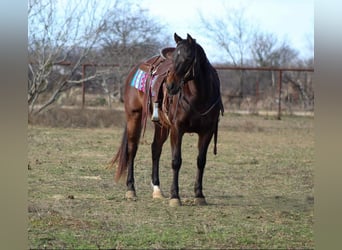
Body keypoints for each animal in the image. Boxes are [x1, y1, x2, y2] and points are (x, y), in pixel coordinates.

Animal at [110, 32, 224, 206]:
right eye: (174, 57)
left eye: (188, 57)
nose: (170, 86)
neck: (199, 97)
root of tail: (135, 69)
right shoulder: (177, 129)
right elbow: (176, 161)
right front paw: (175, 196)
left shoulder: (207, 131)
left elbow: (201, 160)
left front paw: (199, 195)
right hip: (134, 117)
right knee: (132, 149)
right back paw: (130, 189)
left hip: (162, 125)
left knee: (155, 149)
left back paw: (157, 189)